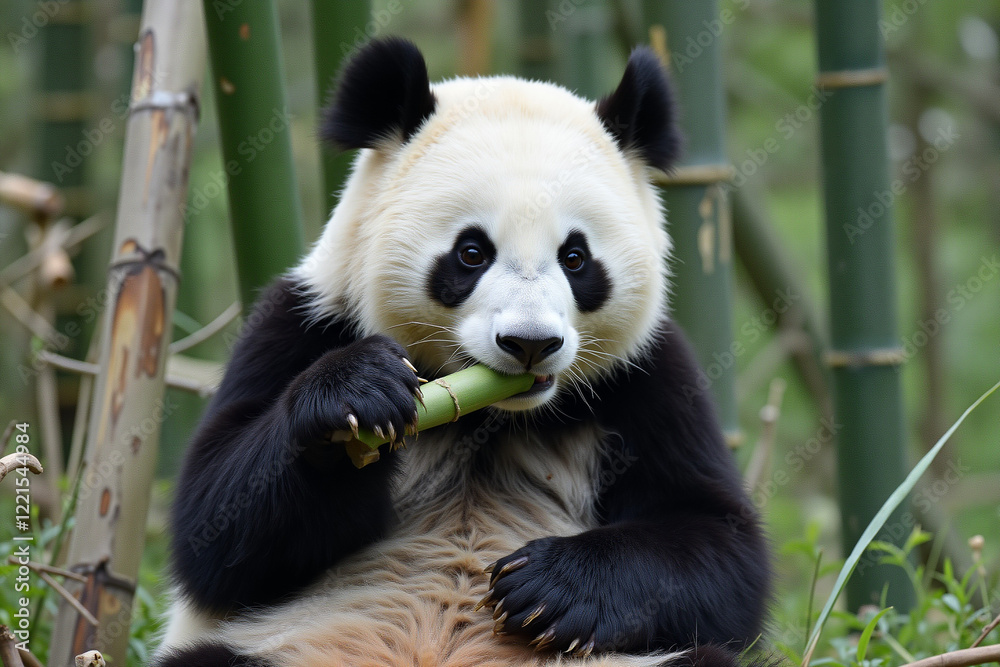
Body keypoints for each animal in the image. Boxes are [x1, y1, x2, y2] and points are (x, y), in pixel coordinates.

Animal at [156, 37, 769, 667]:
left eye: (576, 258)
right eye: (471, 252)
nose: (530, 343)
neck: (491, 416)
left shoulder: (648, 376)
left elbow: (719, 541)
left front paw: (549, 586)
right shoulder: (305, 322)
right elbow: (214, 527)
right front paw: (358, 394)